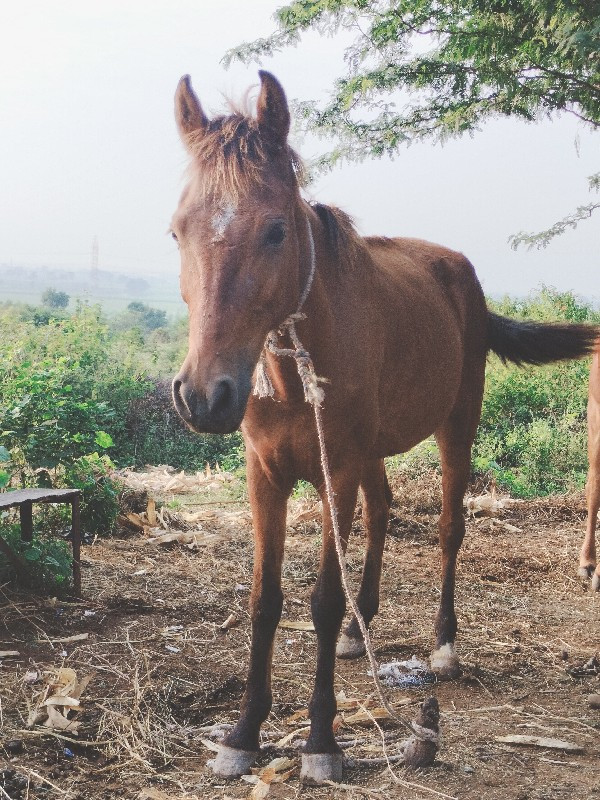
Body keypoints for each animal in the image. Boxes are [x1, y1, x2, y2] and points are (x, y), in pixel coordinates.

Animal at [170, 72, 600, 784]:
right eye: (178, 230)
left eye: (277, 231)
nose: (205, 396)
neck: (299, 366)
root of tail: (460, 273)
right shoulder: (268, 474)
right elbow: (265, 599)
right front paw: (243, 731)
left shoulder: (336, 471)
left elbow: (321, 599)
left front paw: (321, 740)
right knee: (383, 509)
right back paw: (360, 631)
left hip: (457, 425)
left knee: (450, 528)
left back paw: (444, 646)